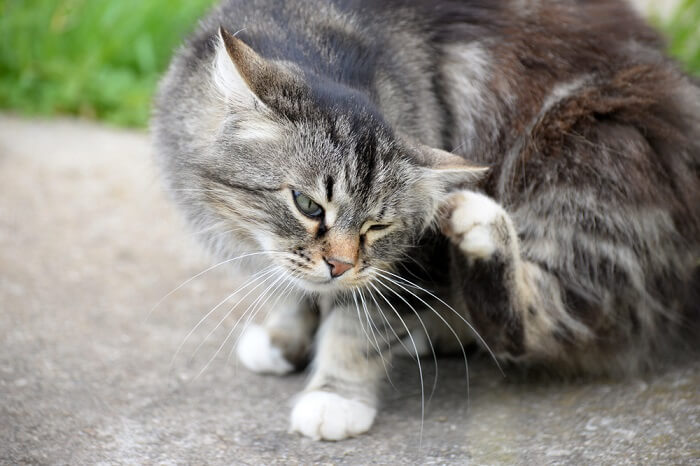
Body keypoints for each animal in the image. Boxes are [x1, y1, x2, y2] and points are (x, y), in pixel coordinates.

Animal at [150, 0, 696, 440]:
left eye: (377, 227)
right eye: (308, 205)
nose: (341, 266)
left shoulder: (409, 261)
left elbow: (358, 328)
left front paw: (335, 397)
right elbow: (291, 290)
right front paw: (284, 340)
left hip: (588, 161)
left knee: (542, 325)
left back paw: (479, 231)